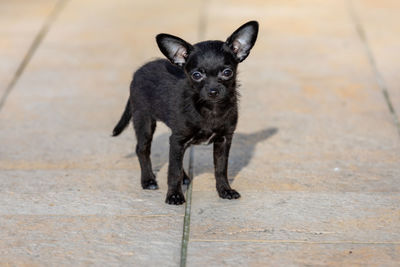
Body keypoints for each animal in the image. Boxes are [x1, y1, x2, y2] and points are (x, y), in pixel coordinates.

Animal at [112, 21, 260, 206]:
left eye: (227, 72)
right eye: (196, 75)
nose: (213, 91)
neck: (210, 109)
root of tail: (138, 71)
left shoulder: (223, 139)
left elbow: (220, 168)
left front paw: (225, 190)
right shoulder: (178, 139)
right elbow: (173, 171)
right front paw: (174, 195)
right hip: (144, 120)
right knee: (142, 149)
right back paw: (148, 180)